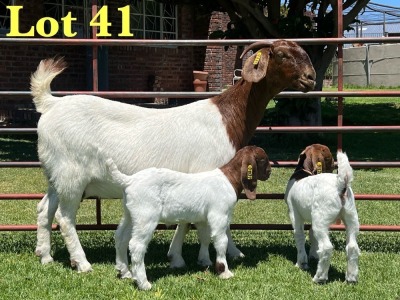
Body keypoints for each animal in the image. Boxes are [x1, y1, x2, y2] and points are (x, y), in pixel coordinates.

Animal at [31, 39, 316, 272]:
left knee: (45, 209)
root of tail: (51, 104)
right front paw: (194, 257)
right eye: (282, 54)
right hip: (72, 175)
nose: (311, 77)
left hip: (56, 174)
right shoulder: (207, 173)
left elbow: (189, 220)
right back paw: (82, 263)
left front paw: (200, 254)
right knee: (64, 218)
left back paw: (45, 256)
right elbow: (199, 222)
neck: (228, 117)